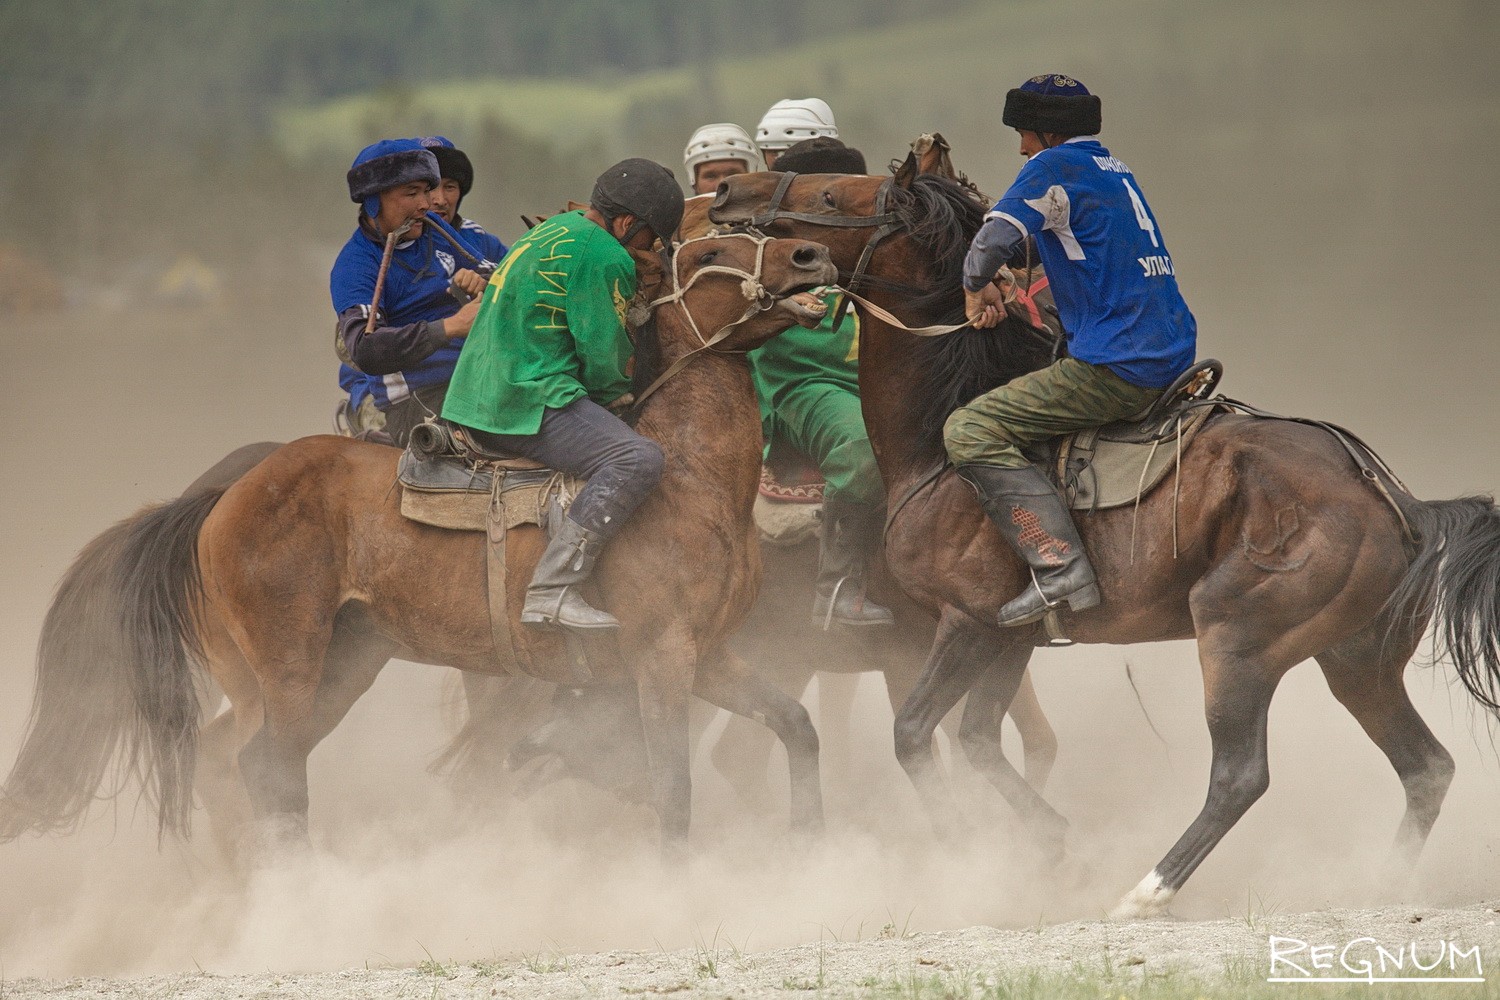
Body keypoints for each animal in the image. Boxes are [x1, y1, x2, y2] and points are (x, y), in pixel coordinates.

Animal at [0, 232, 846, 863]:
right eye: (713, 251)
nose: (813, 255)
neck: (687, 475)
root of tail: (218, 499)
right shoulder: (661, 656)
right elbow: (672, 789)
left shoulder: (711, 655)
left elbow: (795, 728)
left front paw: (812, 847)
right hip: (289, 665)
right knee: (269, 772)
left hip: (332, 665)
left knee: (224, 766)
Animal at [708, 167, 1500, 917]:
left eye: (832, 196)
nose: (729, 193)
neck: (938, 439)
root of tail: (1398, 502)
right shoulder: (1011, 634)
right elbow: (978, 739)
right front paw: (1048, 846)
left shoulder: (965, 623)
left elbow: (914, 733)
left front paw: (964, 851)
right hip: (1356, 659)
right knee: (1426, 767)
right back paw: (1378, 884)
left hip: (1238, 638)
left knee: (1240, 775)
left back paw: (1145, 893)